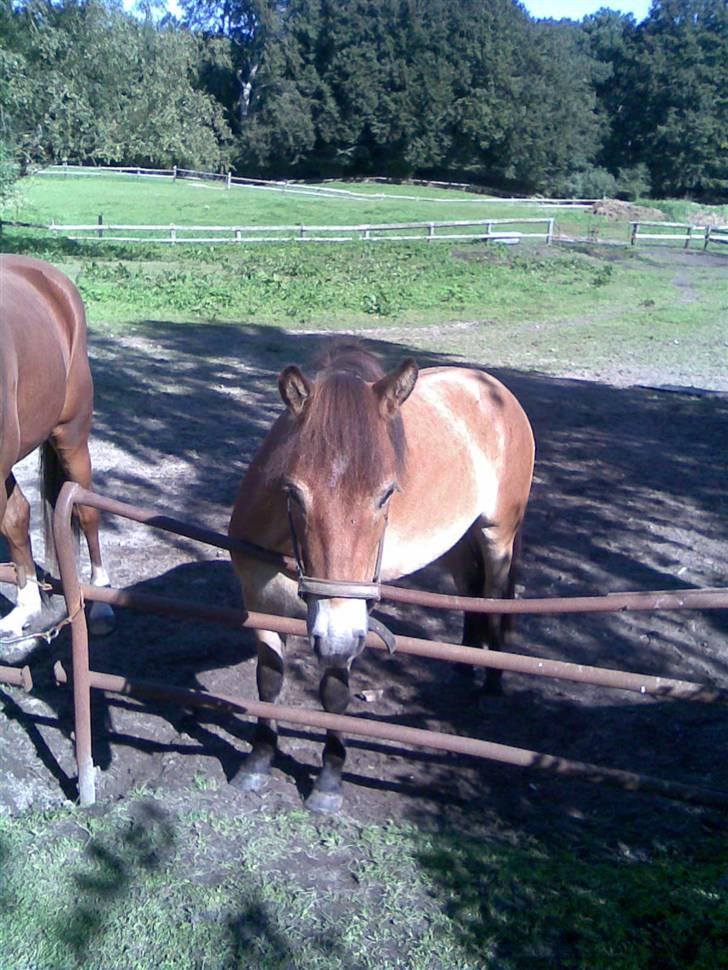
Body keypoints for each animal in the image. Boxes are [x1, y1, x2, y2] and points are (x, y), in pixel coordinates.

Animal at [229, 340, 536, 808]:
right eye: (294, 492)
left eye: (386, 494)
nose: (336, 638)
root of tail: (493, 387)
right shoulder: (261, 604)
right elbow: (268, 682)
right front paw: (258, 760)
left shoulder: (352, 620)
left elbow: (335, 693)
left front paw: (329, 780)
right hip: (457, 541)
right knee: (469, 591)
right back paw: (464, 667)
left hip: (497, 535)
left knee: (494, 597)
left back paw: (492, 681)